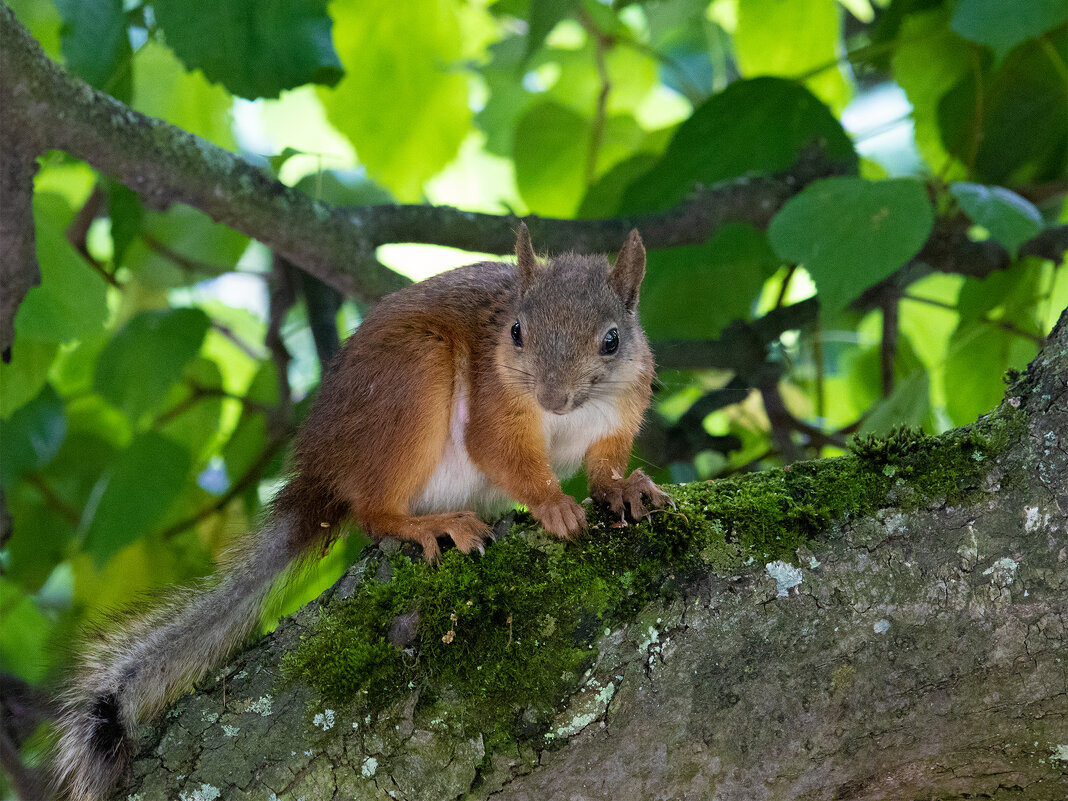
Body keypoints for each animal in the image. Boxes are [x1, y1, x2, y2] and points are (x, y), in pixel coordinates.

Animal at [52, 224, 666, 801]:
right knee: (373, 513)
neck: (568, 417)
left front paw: (624, 490)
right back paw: (431, 525)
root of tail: (325, 474)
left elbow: (604, 467)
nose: (553, 398)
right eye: (516, 331)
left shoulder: (619, 415)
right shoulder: (497, 410)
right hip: (413, 378)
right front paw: (553, 505)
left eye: (612, 340)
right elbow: (502, 455)